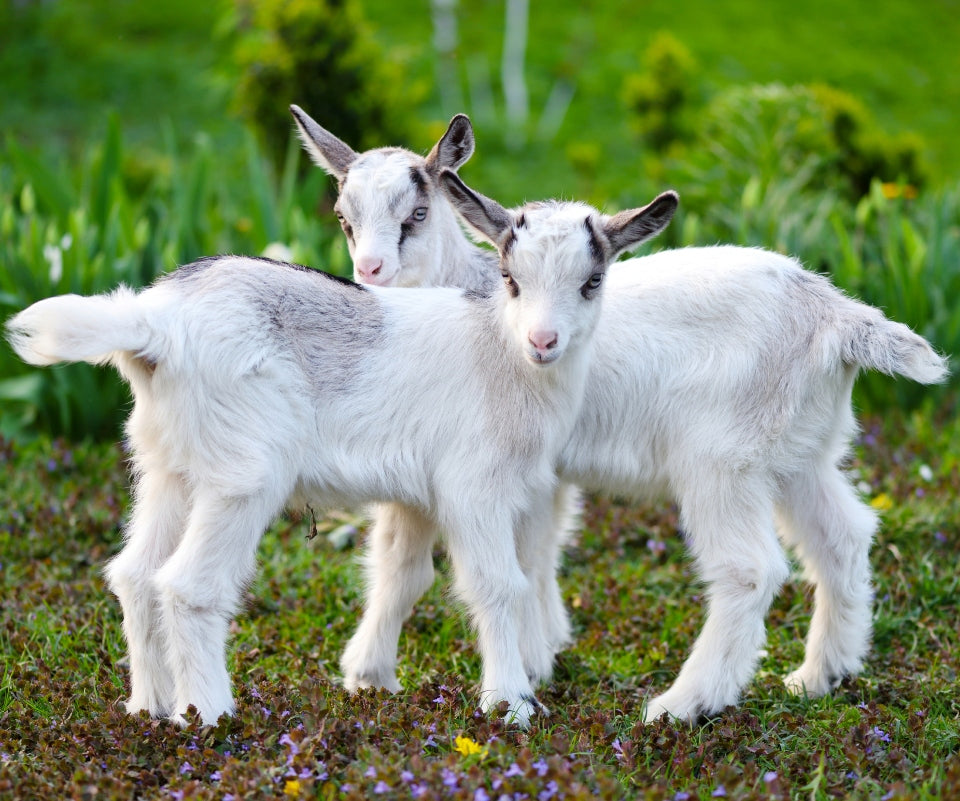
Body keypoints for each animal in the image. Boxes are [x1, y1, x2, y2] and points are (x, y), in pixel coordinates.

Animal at [6, 169, 678, 727]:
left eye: (593, 282)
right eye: (511, 280)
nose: (544, 341)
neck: (500, 350)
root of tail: (154, 325)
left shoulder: (422, 496)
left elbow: (404, 576)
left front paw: (375, 680)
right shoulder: (475, 488)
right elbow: (499, 585)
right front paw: (511, 705)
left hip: (167, 465)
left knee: (136, 574)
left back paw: (149, 708)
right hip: (242, 476)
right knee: (189, 586)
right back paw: (208, 716)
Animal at [292, 106, 949, 723]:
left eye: (417, 215)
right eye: (344, 219)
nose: (370, 272)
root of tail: (835, 316)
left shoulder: (521, 469)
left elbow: (521, 557)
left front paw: (529, 662)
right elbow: (406, 566)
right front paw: (373, 676)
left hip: (722, 462)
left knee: (749, 570)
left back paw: (683, 705)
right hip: (799, 454)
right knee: (843, 536)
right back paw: (819, 676)